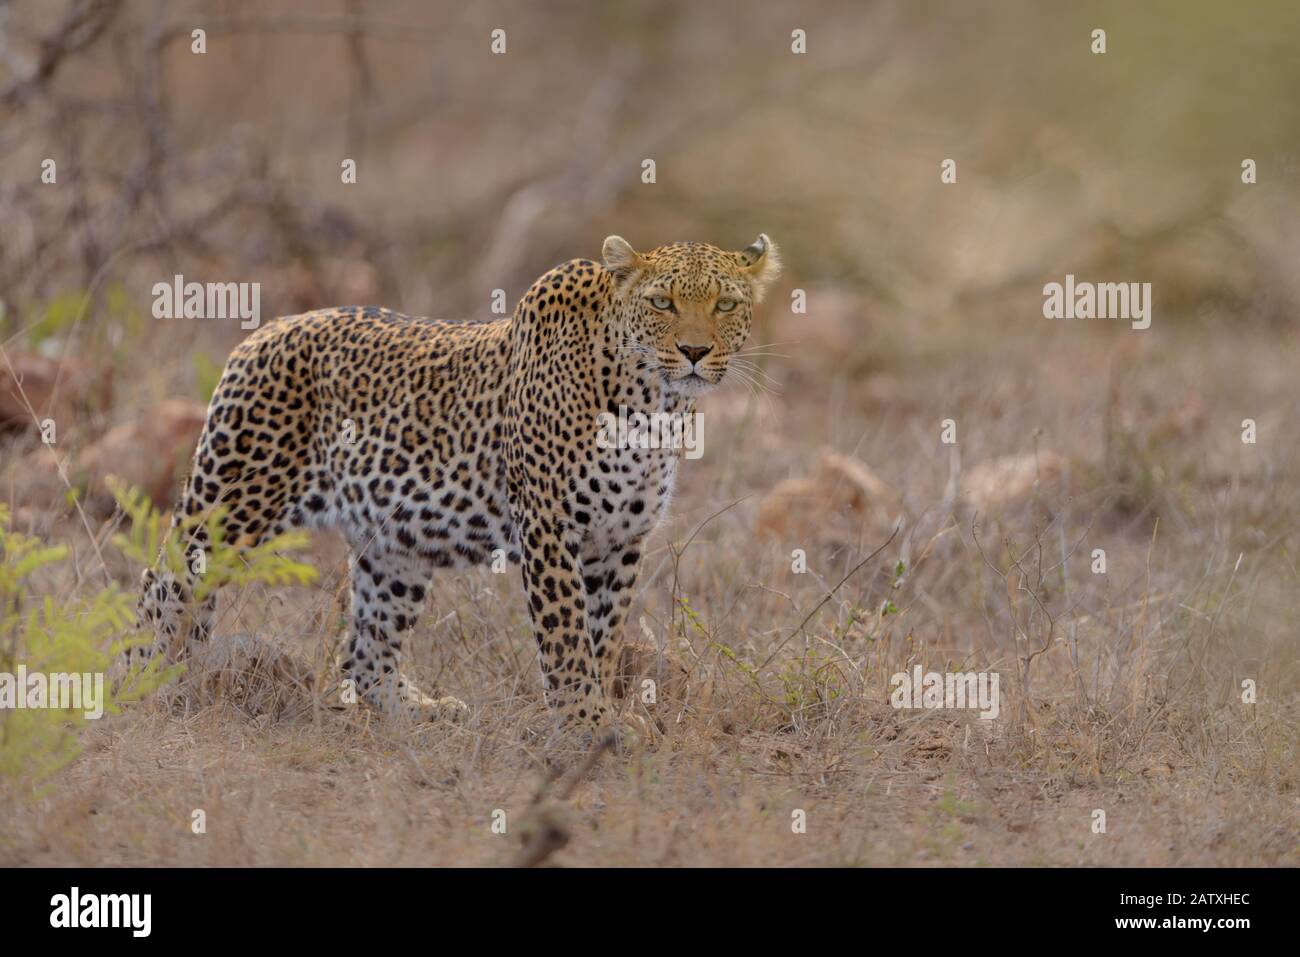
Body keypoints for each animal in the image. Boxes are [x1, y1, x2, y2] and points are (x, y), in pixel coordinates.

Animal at [134, 233, 781, 741]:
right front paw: (587, 724)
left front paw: (606, 715)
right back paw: (136, 684)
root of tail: (266, 329)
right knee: (162, 583)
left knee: (365, 650)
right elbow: (568, 636)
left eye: (725, 303)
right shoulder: (550, 528)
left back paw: (419, 711)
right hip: (232, 502)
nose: (694, 351)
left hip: (393, 545)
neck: (653, 406)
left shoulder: (619, 540)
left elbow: (605, 636)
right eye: (661, 303)